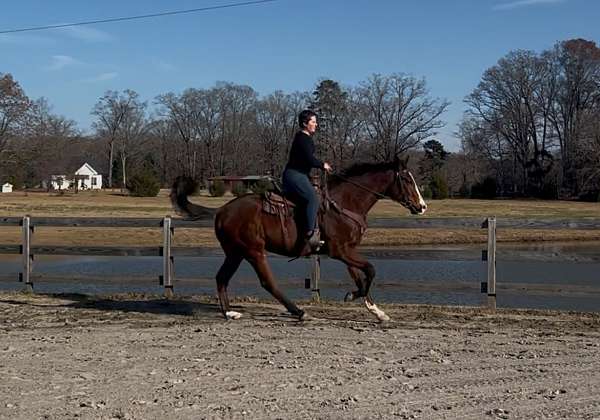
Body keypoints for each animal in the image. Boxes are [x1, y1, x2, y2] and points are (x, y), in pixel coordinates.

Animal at [170, 156, 426, 324]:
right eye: (407, 179)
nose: (422, 206)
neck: (345, 203)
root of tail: (222, 210)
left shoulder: (347, 251)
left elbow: (360, 277)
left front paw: (375, 310)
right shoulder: (340, 251)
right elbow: (370, 270)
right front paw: (356, 298)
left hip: (235, 253)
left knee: (221, 278)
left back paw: (229, 313)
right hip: (253, 252)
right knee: (267, 282)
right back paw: (299, 312)